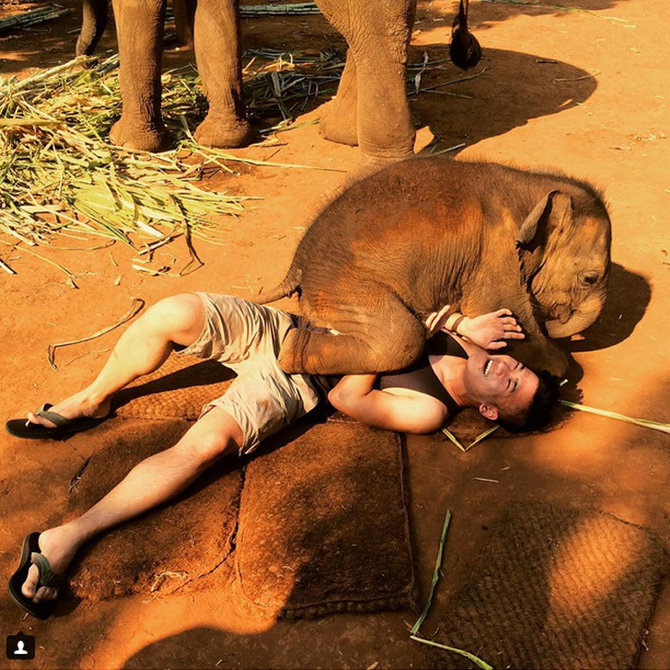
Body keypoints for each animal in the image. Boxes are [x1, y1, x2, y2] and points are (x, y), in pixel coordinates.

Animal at [255, 158, 612, 378]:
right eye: (589, 278)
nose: (557, 320)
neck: (533, 187)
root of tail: (298, 261)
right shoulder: (497, 251)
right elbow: (502, 310)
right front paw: (557, 365)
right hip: (339, 284)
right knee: (401, 337)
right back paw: (290, 348)